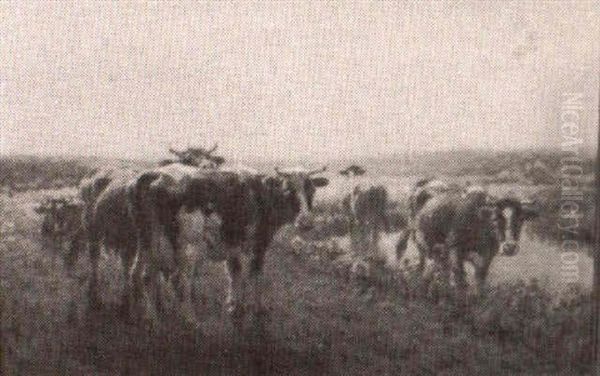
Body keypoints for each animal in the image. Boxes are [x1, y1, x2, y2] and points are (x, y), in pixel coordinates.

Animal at [129, 163, 330, 328]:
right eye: (289, 190)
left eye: (311, 191)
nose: (306, 222)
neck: (261, 194)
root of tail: (155, 173)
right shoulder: (258, 245)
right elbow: (254, 275)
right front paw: (256, 308)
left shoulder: (232, 246)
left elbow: (234, 273)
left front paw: (233, 305)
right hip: (188, 246)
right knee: (180, 279)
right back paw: (190, 319)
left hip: (147, 240)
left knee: (141, 274)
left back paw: (147, 316)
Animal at [396, 179, 536, 296]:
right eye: (495, 218)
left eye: (520, 219)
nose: (510, 247)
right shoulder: (455, 249)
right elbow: (460, 278)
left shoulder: (487, 255)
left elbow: (480, 279)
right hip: (420, 237)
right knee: (415, 257)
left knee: (437, 267)